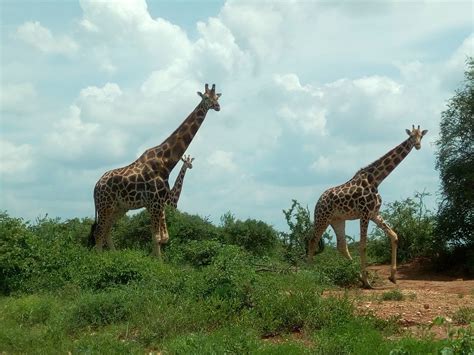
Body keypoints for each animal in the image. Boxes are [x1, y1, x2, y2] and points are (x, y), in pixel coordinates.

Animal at [89, 83, 222, 258]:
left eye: (217, 97)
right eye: (206, 98)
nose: (217, 106)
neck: (166, 162)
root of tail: (96, 186)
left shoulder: (158, 203)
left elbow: (162, 238)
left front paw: (155, 260)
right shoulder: (155, 203)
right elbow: (157, 238)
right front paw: (156, 263)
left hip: (120, 207)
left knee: (107, 230)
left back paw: (114, 256)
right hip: (105, 205)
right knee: (99, 232)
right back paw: (100, 259)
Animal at [308, 126, 430, 288]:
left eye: (421, 136)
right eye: (411, 136)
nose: (417, 145)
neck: (376, 180)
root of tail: (318, 201)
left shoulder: (374, 213)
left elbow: (394, 236)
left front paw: (392, 277)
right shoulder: (365, 213)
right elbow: (363, 245)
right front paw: (367, 282)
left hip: (338, 220)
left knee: (341, 245)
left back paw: (356, 275)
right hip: (322, 217)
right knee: (313, 240)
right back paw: (310, 272)